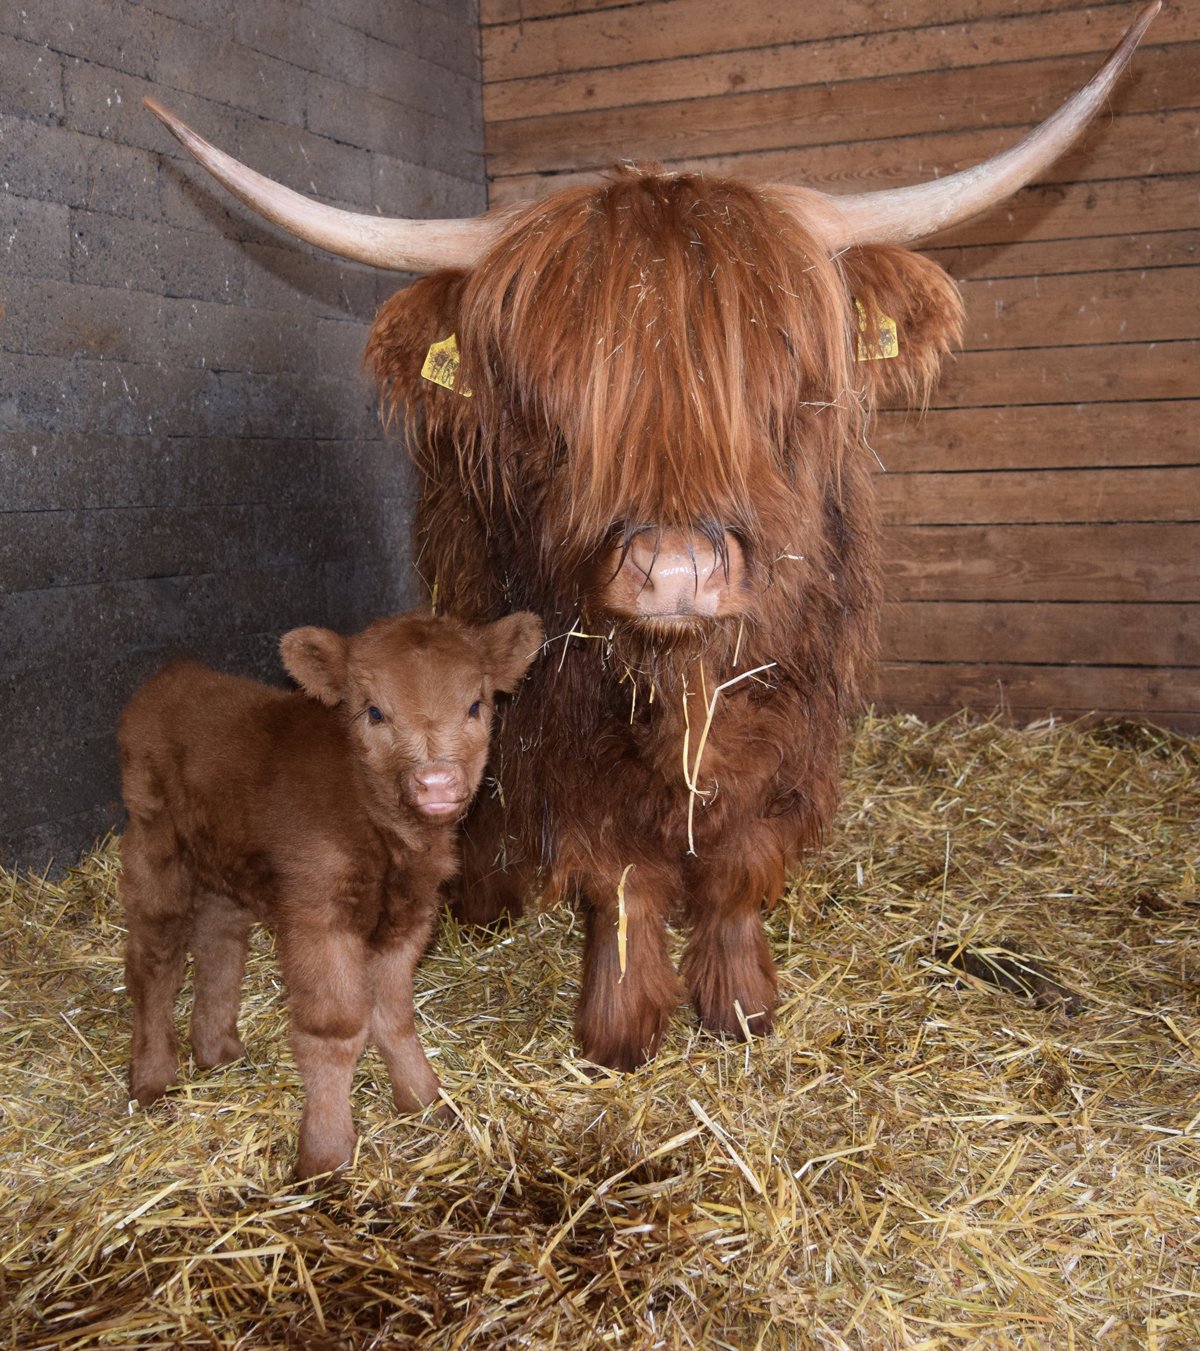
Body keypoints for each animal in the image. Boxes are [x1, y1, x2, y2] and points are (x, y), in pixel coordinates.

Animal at [116, 607, 537, 1178]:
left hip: (224, 858)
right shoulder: (320, 917)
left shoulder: (409, 917)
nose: (436, 782)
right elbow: (335, 1029)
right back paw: (154, 1077)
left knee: (219, 940)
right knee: (154, 960)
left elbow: (394, 1015)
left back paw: (217, 1049)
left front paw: (425, 1100)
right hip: (155, 845)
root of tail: (174, 675)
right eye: (374, 712)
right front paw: (325, 1153)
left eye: (476, 704)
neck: (385, 835)